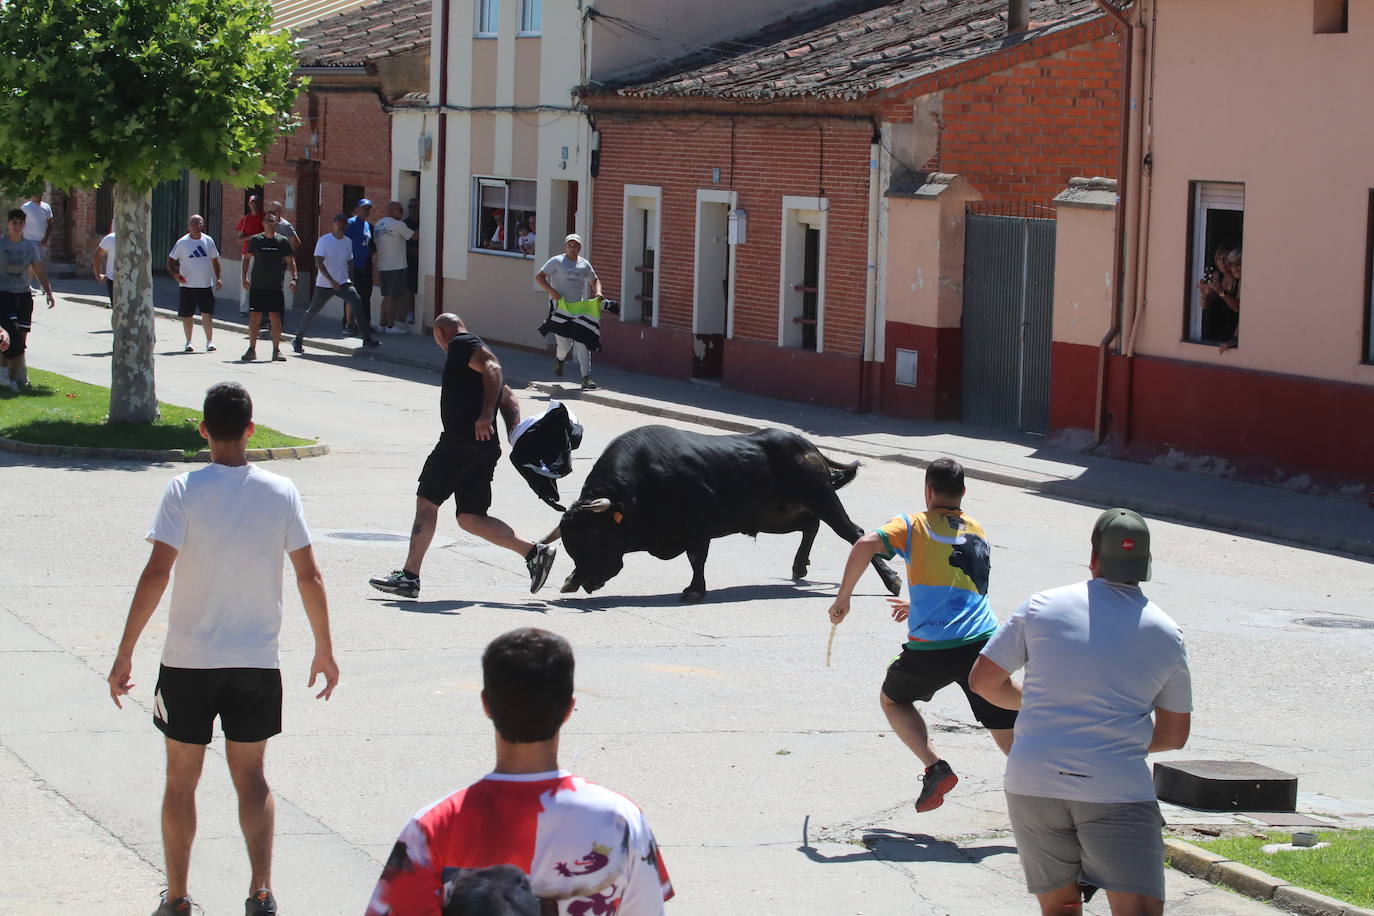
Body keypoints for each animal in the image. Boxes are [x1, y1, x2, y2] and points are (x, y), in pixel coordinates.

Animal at [546, 428, 901, 601]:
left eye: (595, 536)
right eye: (571, 545)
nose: (585, 581)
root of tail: (806, 445)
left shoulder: (698, 525)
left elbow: (696, 558)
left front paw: (694, 590)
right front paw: (568, 580)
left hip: (822, 498)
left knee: (853, 533)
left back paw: (893, 581)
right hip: (777, 516)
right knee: (810, 526)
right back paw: (799, 567)